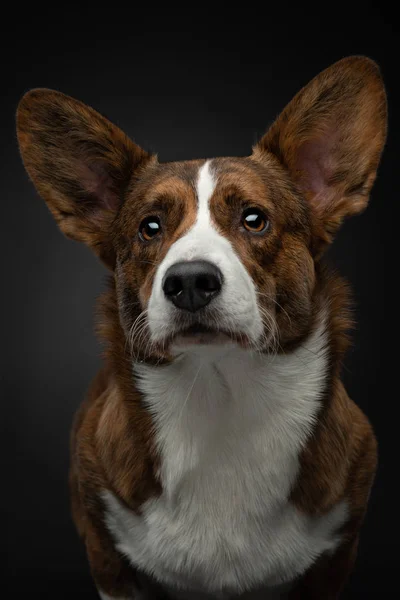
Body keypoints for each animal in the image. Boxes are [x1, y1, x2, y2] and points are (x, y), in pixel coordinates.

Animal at [16, 57, 388, 600]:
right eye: (149, 227)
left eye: (254, 219)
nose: (190, 281)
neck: (219, 398)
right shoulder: (108, 557)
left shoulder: (335, 554)